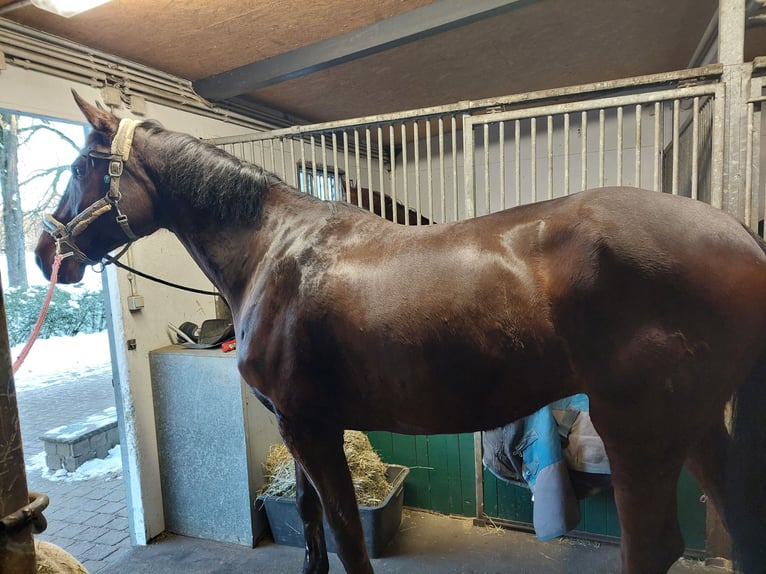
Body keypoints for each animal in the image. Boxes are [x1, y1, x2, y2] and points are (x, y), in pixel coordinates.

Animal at [35, 93, 766, 574]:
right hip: (695, 424)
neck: (275, 250)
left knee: (656, 547)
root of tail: (738, 234)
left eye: (79, 167)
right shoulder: (299, 426)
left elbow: (344, 535)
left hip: (639, 430)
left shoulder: (309, 426)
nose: (47, 254)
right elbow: (309, 523)